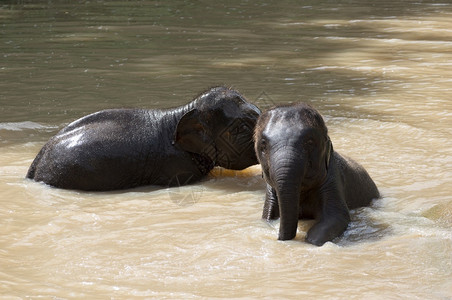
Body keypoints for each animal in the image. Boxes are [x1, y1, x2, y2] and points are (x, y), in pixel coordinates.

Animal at [256, 103, 380, 246]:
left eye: (310, 142)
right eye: (263, 144)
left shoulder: (332, 178)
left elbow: (336, 218)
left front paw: (310, 241)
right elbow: (267, 217)